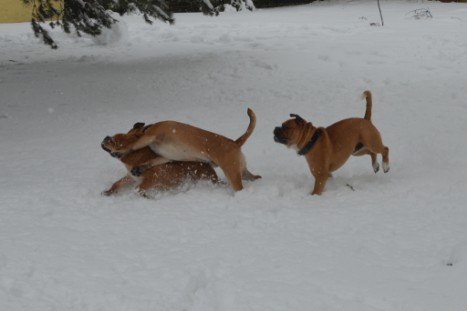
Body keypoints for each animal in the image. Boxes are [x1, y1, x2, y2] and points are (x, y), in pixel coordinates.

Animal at [103, 109, 262, 193]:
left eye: (115, 139)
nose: (105, 137)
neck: (148, 128)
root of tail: (235, 143)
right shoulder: (165, 156)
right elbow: (152, 161)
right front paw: (139, 168)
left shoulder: (150, 136)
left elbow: (133, 144)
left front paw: (119, 150)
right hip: (241, 170)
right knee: (252, 177)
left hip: (232, 173)